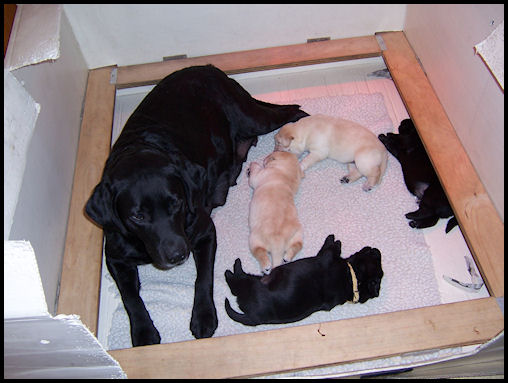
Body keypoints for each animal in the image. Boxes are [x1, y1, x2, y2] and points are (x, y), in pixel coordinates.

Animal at [85, 64, 308, 346]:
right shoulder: (114, 256)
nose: (178, 255)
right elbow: (130, 297)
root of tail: (208, 67)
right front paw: (143, 331)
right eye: (137, 217)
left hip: (253, 116)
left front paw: (203, 316)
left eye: (177, 202)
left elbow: (203, 279)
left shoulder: (205, 233)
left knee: (290, 112)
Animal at [224, 234, 382, 328]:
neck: (353, 278)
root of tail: (253, 317)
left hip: (252, 284)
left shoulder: (326, 256)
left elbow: (330, 247)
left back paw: (233, 268)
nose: (377, 250)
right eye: (377, 260)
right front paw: (336, 240)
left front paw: (334, 240)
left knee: (235, 282)